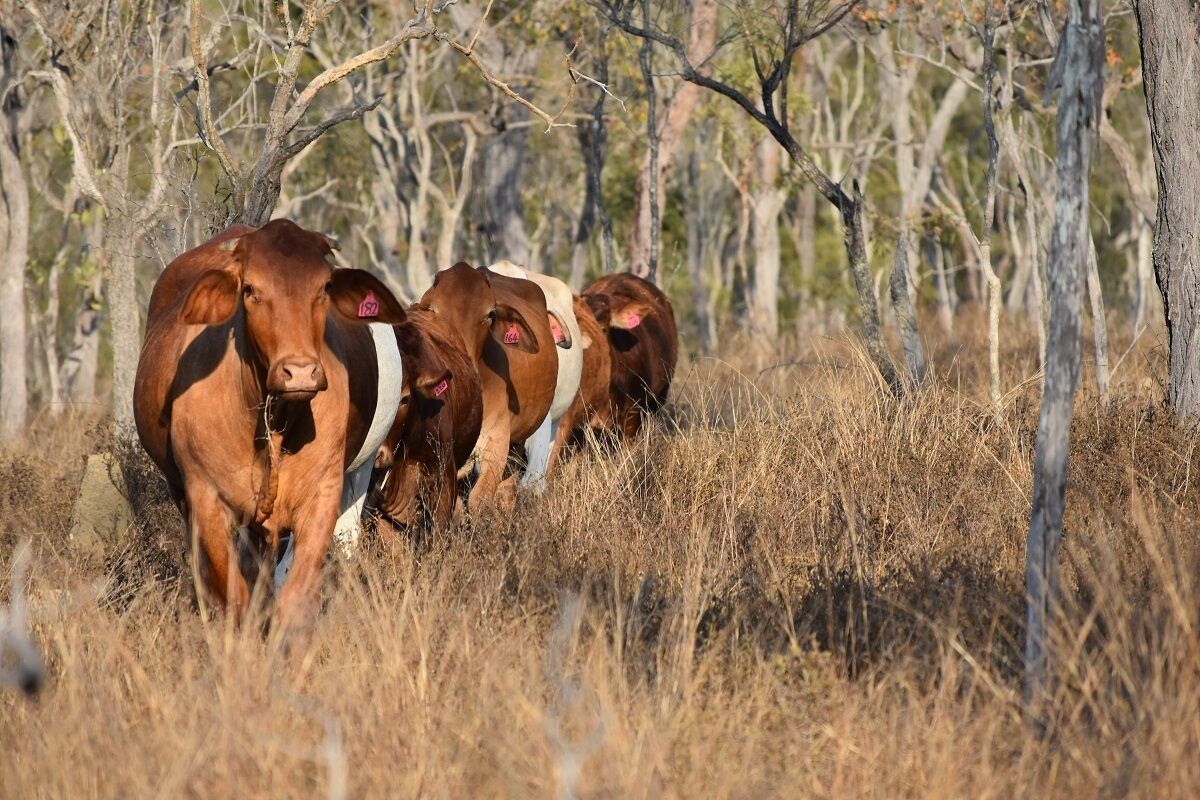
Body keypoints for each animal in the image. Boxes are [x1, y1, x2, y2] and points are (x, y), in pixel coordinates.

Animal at [135, 217, 408, 633]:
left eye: (324, 287)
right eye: (250, 289)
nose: (300, 372)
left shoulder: (321, 496)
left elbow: (293, 597)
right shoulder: (206, 499)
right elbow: (234, 597)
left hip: (360, 470)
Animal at [417, 262, 556, 513]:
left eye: (489, 314)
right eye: (433, 311)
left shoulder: (497, 442)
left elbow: (479, 499)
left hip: (517, 444)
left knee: (506, 489)